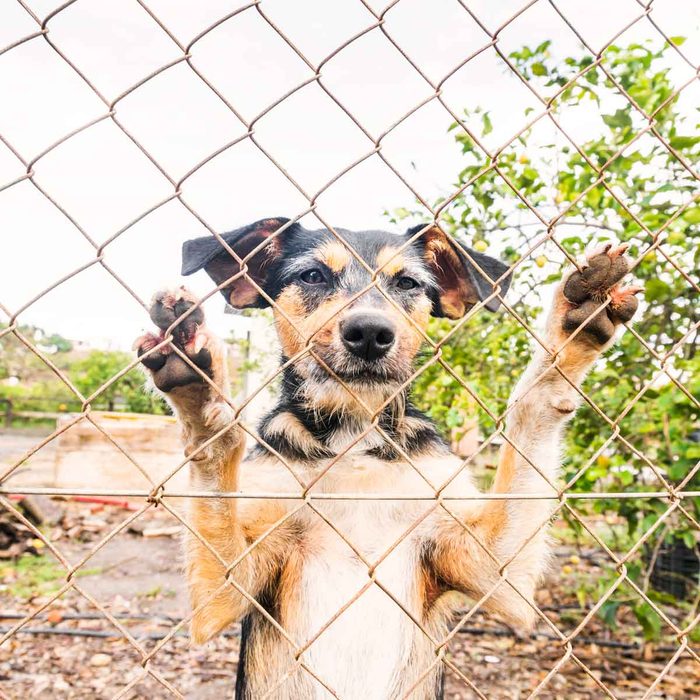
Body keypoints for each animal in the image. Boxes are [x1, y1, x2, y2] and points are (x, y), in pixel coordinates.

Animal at [133, 216, 640, 696]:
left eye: (408, 283)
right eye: (313, 275)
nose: (370, 333)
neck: (354, 437)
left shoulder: (496, 570)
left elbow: (534, 406)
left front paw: (573, 326)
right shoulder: (225, 593)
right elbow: (216, 481)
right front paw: (202, 393)